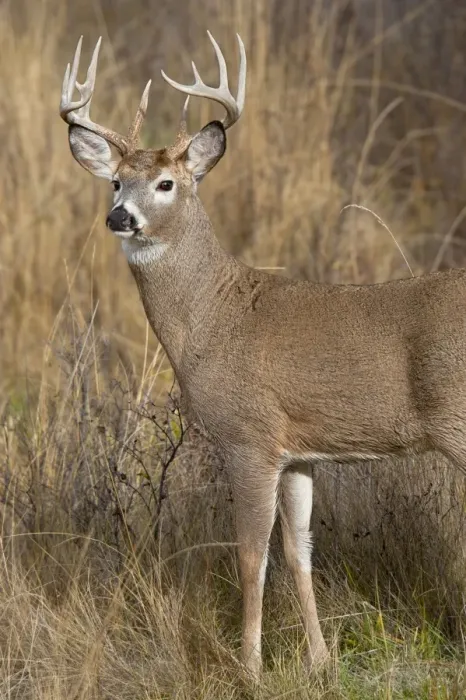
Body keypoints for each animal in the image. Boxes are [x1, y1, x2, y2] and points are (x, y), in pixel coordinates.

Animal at [59, 32, 466, 678]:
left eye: (167, 184)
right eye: (116, 182)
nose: (119, 217)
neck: (214, 318)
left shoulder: (248, 435)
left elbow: (251, 556)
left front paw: (248, 665)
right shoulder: (299, 451)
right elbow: (300, 553)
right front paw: (320, 661)